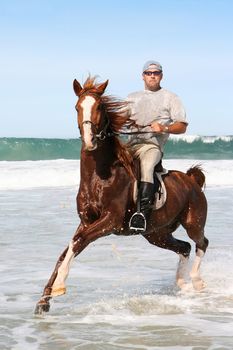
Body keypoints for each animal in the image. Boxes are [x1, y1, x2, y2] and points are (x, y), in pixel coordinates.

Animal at [35, 76, 209, 314]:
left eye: (99, 107)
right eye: (77, 107)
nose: (89, 140)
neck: (101, 175)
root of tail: (192, 180)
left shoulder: (110, 221)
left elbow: (77, 242)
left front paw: (59, 286)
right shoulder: (86, 221)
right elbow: (68, 249)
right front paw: (44, 300)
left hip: (193, 222)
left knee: (201, 243)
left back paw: (196, 281)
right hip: (157, 234)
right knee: (184, 247)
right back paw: (182, 283)